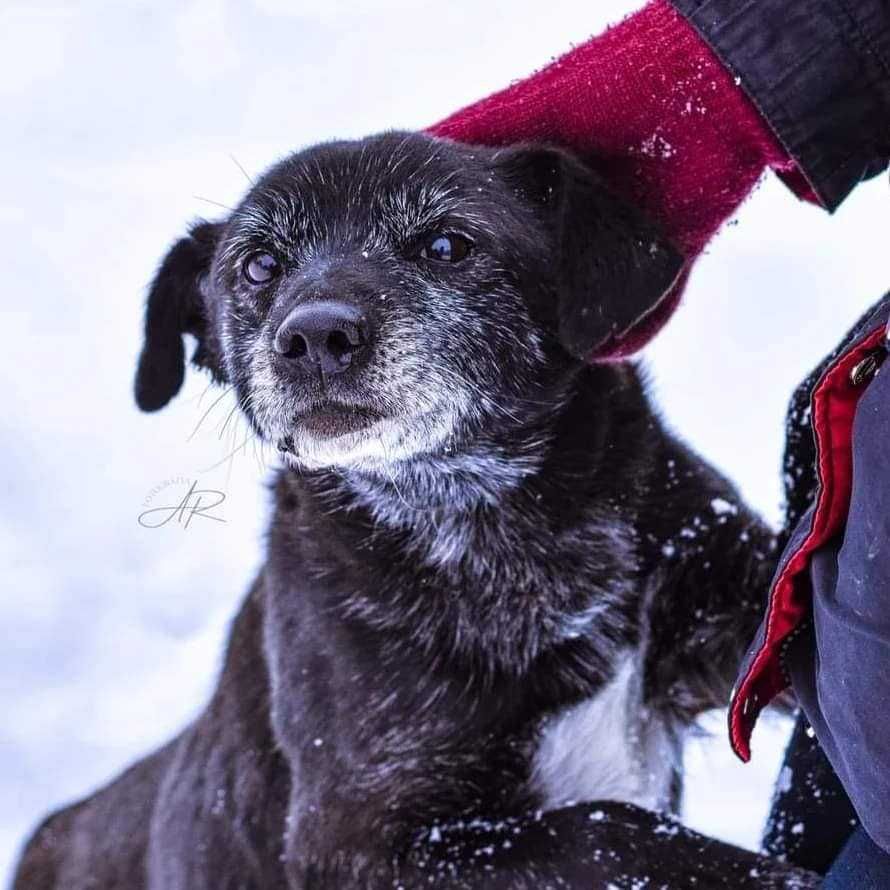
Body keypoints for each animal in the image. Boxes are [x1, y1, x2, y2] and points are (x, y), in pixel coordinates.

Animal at [10, 132, 800, 888]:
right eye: (259, 265)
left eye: (446, 245)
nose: (315, 337)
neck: (487, 518)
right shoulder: (356, 840)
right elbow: (605, 831)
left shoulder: (739, 600)